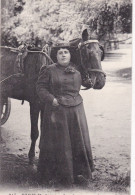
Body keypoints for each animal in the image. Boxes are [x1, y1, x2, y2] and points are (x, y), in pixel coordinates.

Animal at [0, 30, 106, 165]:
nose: (100, 81)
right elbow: (35, 132)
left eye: (101, 53)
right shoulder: (35, 104)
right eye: (88, 52)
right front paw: (31, 156)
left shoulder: (46, 104)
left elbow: (43, 129)